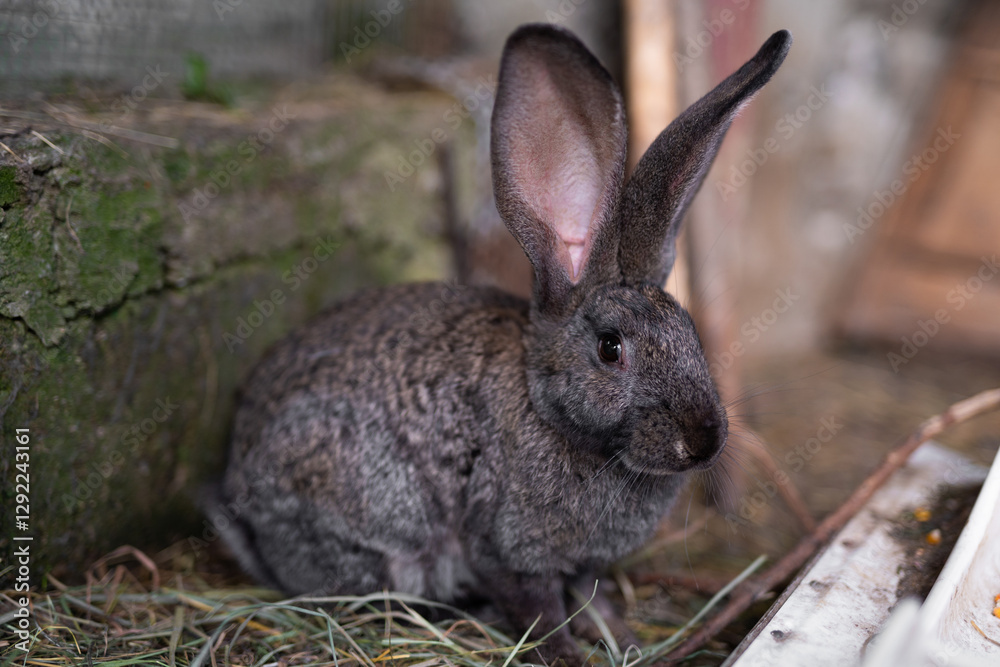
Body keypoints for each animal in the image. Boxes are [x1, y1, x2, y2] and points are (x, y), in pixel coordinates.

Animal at [218, 23, 791, 666]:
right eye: (610, 348)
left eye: (690, 332)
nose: (704, 441)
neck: (553, 415)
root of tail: (241, 493)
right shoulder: (507, 548)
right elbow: (538, 609)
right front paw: (567, 655)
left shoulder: (581, 564)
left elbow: (591, 596)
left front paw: (621, 638)